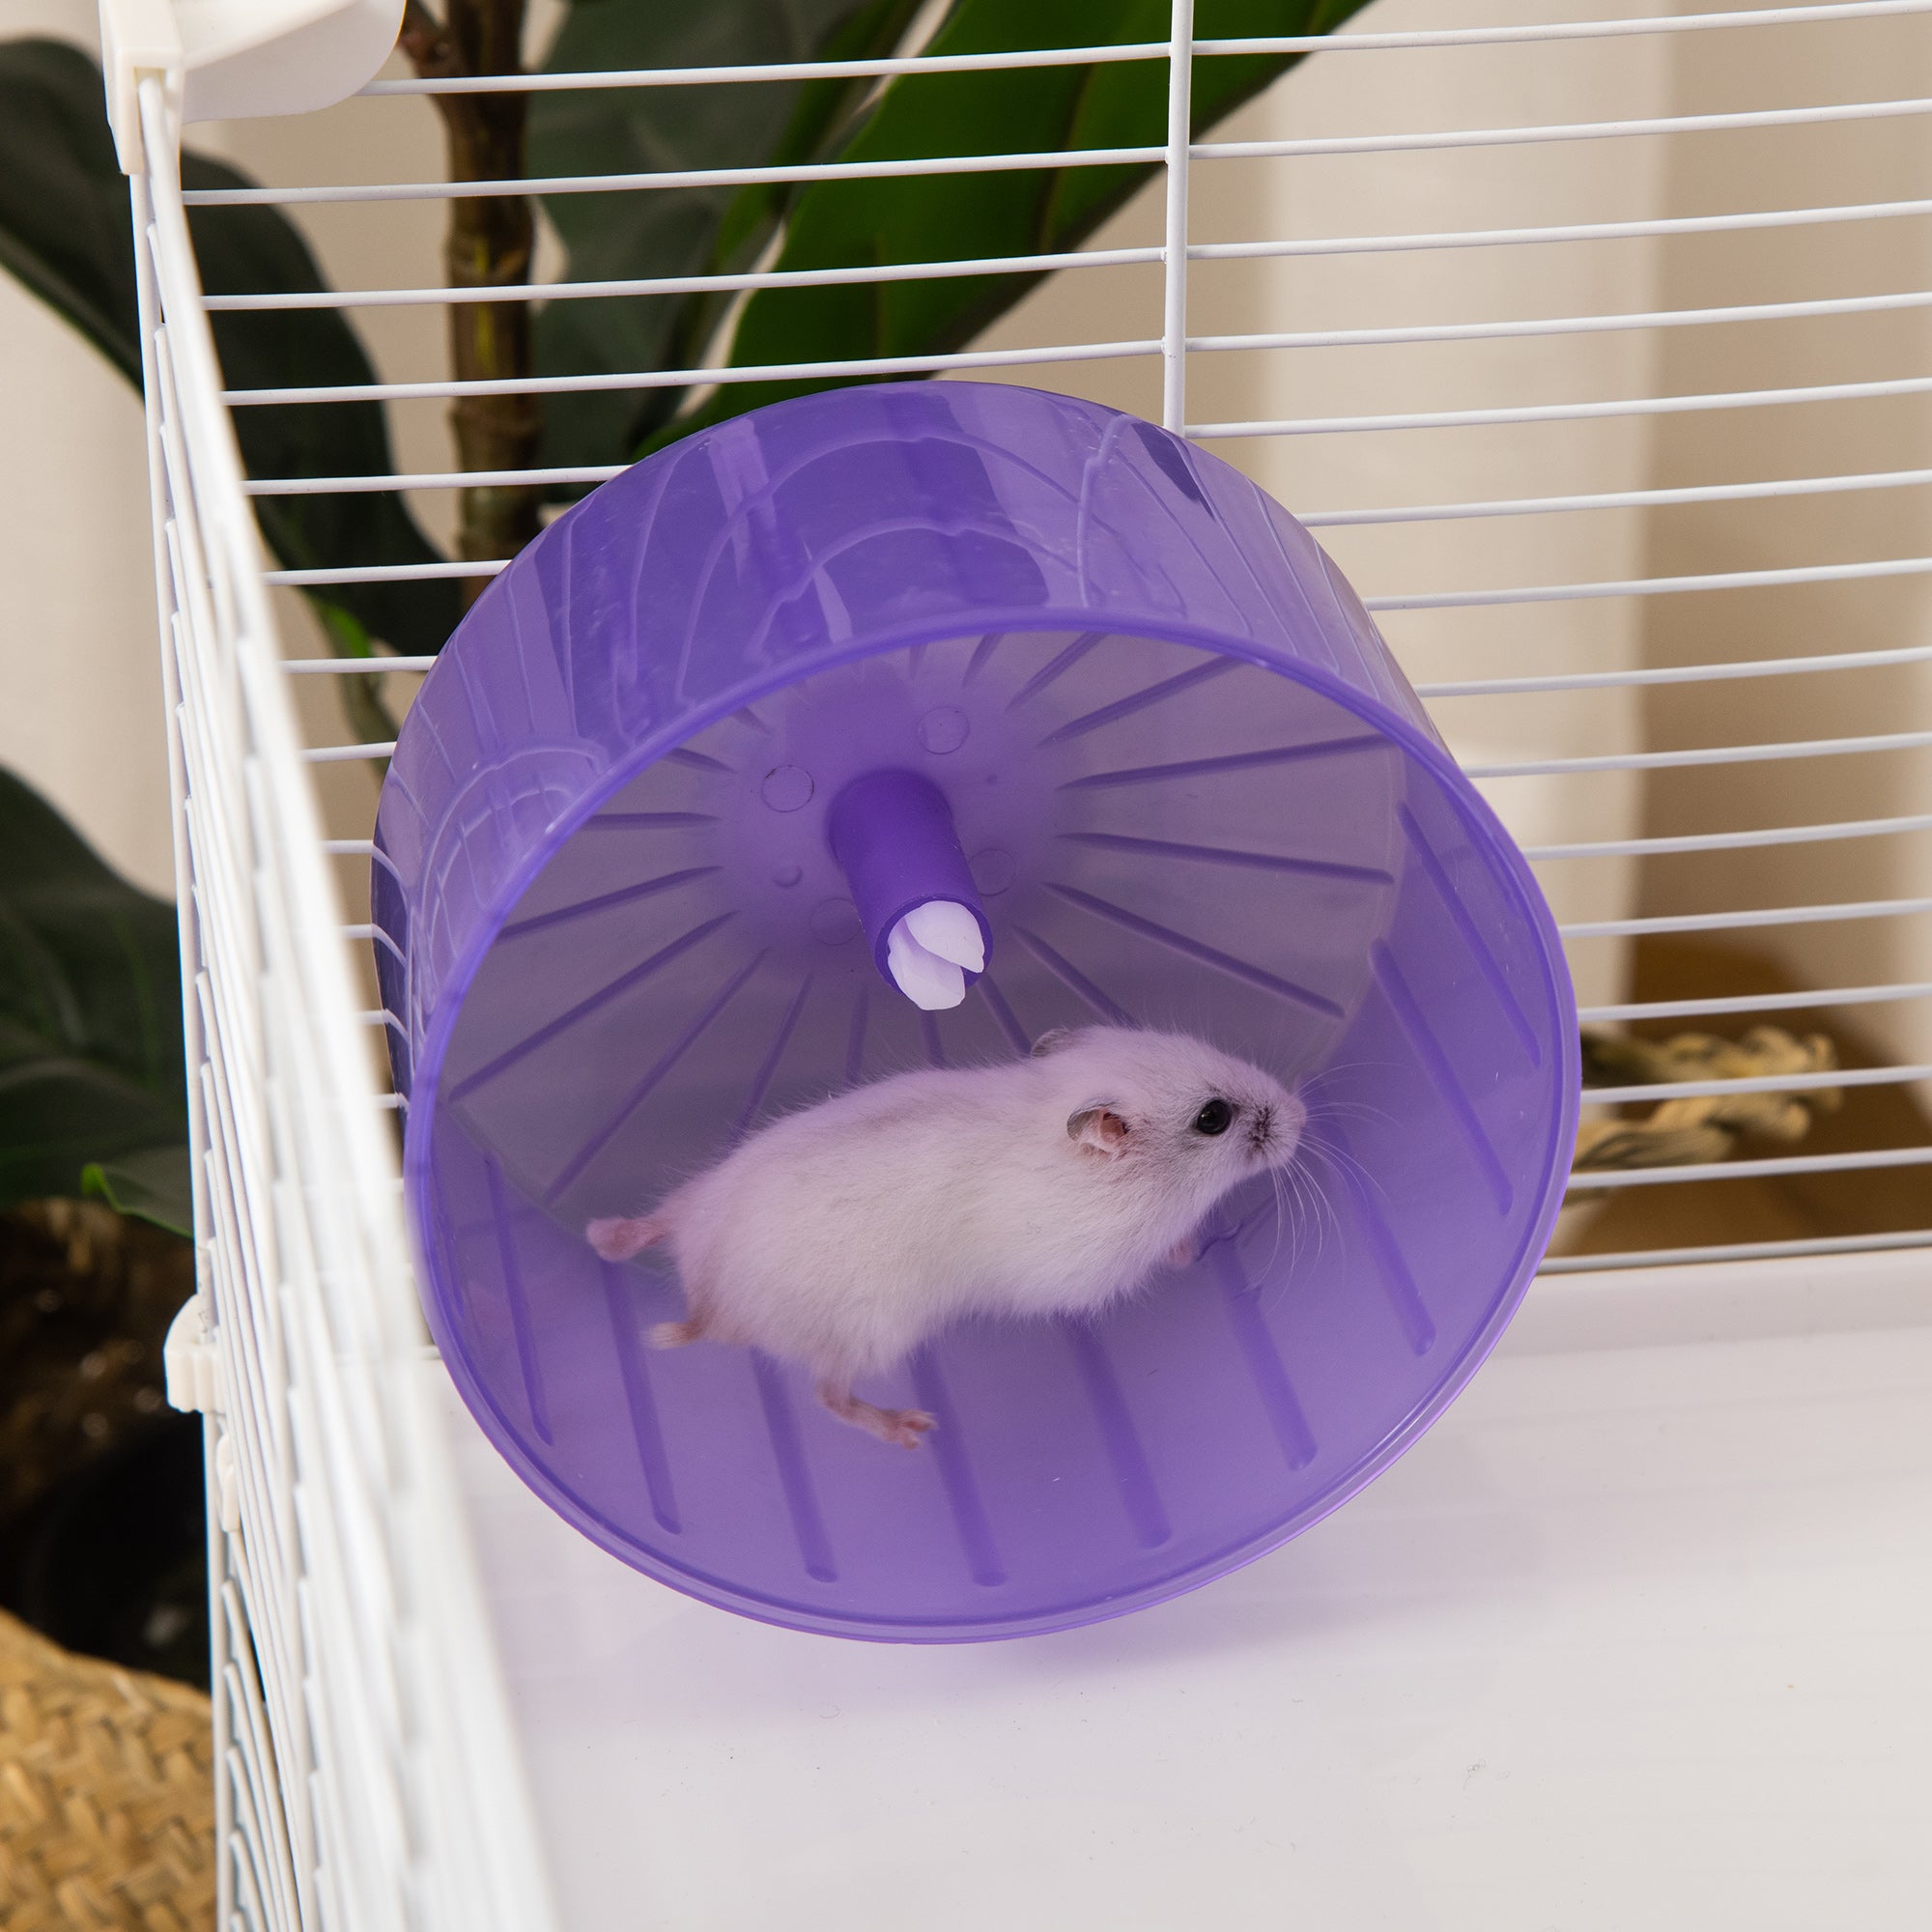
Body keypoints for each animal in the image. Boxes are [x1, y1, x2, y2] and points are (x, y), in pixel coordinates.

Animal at [587, 1025, 1305, 1447]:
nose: (1303, 1115)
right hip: (869, 1333)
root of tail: (707, 1301)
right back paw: (910, 1431)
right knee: (827, 1394)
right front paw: (1197, 1243)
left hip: (704, 1195)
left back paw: (605, 1233)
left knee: (658, 1217)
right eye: (1213, 1118)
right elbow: (1170, 1251)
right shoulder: (1090, 1268)